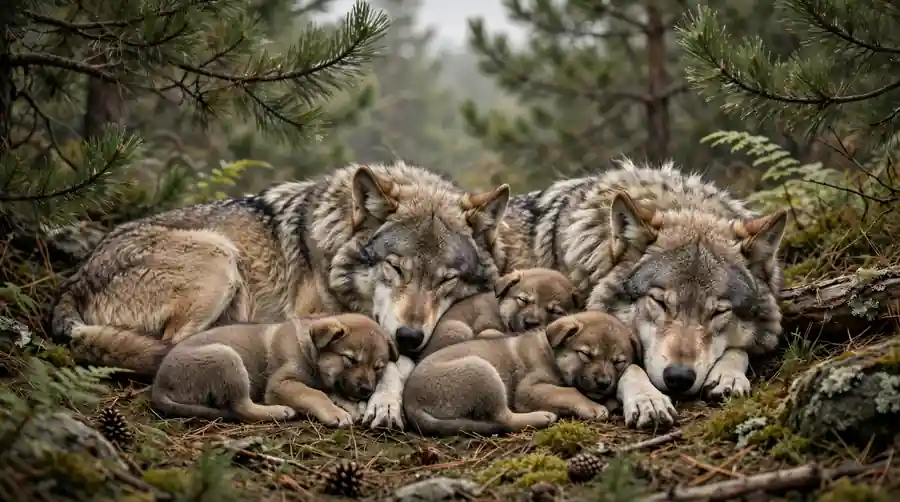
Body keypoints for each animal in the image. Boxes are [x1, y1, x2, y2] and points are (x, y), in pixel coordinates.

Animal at [151, 313, 397, 426]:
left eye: (378, 368)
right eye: (351, 359)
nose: (366, 390)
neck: (310, 352)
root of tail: (159, 384)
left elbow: (326, 391)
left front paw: (348, 404)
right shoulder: (281, 384)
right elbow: (314, 394)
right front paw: (335, 412)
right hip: (227, 358)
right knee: (242, 408)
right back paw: (280, 411)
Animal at [403, 311, 639, 437]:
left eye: (619, 362)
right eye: (586, 354)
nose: (604, 382)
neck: (551, 354)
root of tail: (410, 402)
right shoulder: (528, 389)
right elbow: (568, 391)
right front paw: (593, 406)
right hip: (482, 371)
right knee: (504, 418)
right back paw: (542, 416)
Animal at [499, 159, 787, 429]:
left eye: (719, 312)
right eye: (659, 301)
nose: (679, 378)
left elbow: (740, 349)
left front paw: (729, 375)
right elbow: (632, 365)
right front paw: (648, 400)